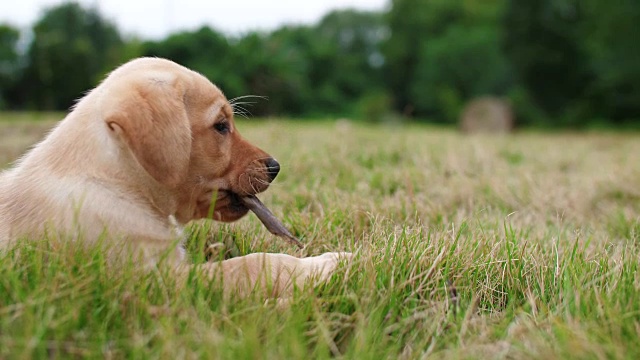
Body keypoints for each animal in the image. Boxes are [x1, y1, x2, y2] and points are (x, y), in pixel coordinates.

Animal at [0, 57, 350, 298]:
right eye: (221, 126)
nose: (275, 167)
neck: (115, 183)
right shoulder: (162, 282)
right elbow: (255, 264)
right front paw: (333, 262)